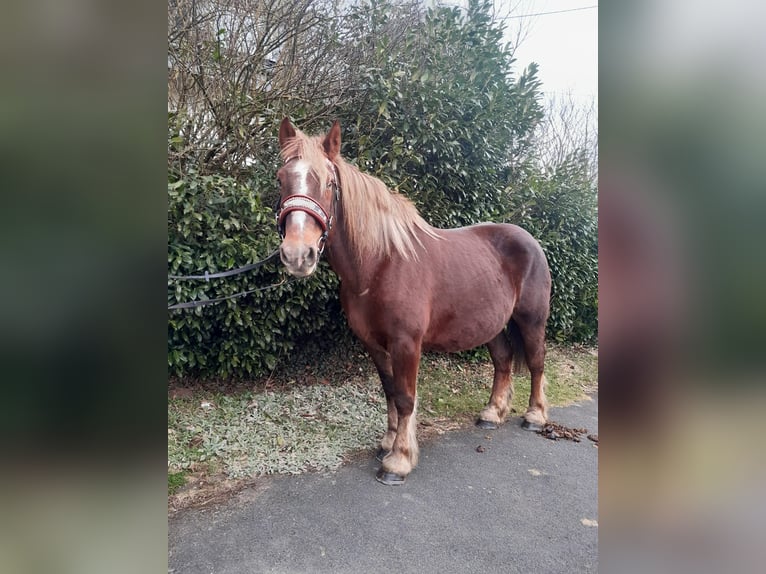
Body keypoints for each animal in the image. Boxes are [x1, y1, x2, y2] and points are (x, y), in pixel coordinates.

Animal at [276, 119, 552, 488]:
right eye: (281, 178)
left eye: (330, 183)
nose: (297, 255)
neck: (382, 263)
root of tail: (530, 240)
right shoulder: (374, 344)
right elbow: (390, 391)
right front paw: (388, 442)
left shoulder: (406, 343)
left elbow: (406, 398)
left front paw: (399, 460)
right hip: (492, 325)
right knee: (503, 361)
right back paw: (492, 413)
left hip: (531, 320)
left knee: (536, 363)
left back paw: (535, 416)